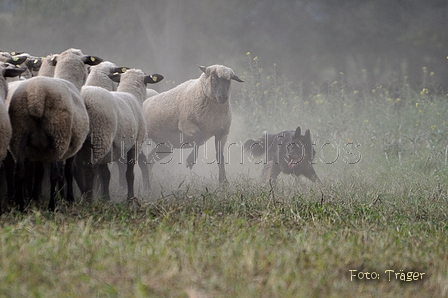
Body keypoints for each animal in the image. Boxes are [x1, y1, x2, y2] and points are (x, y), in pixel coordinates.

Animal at [8, 49, 103, 211]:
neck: (68, 80)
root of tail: (36, 96)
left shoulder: (39, 151)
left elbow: (39, 172)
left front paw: (36, 197)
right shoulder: (72, 145)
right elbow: (67, 172)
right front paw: (68, 198)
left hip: (19, 133)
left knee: (19, 171)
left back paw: (20, 205)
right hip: (58, 136)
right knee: (54, 173)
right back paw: (52, 206)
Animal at [75, 65, 163, 200]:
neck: (131, 94)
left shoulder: (112, 147)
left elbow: (105, 173)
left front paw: (105, 197)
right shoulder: (134, 144)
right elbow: (129, 173)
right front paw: (130, 198)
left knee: (76, 169)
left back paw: (82, 195)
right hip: (99, 136)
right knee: (89, 169)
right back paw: (88, 199)